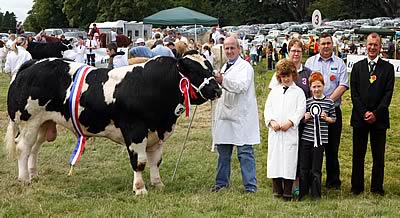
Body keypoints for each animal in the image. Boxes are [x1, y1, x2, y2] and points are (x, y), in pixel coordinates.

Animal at [4, 53, 220, 195]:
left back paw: (33, 175)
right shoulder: (135, 131)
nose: (217, 89)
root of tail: (33, 63)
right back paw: (24, 179)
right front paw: (140, 189)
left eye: (209, 68)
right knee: (23, 147)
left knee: (34, 148)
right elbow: (139, 162)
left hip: (44, 123)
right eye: (194, 71)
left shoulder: (156, 134)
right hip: (29, 122)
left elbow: (155, 161)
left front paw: (158, 184)